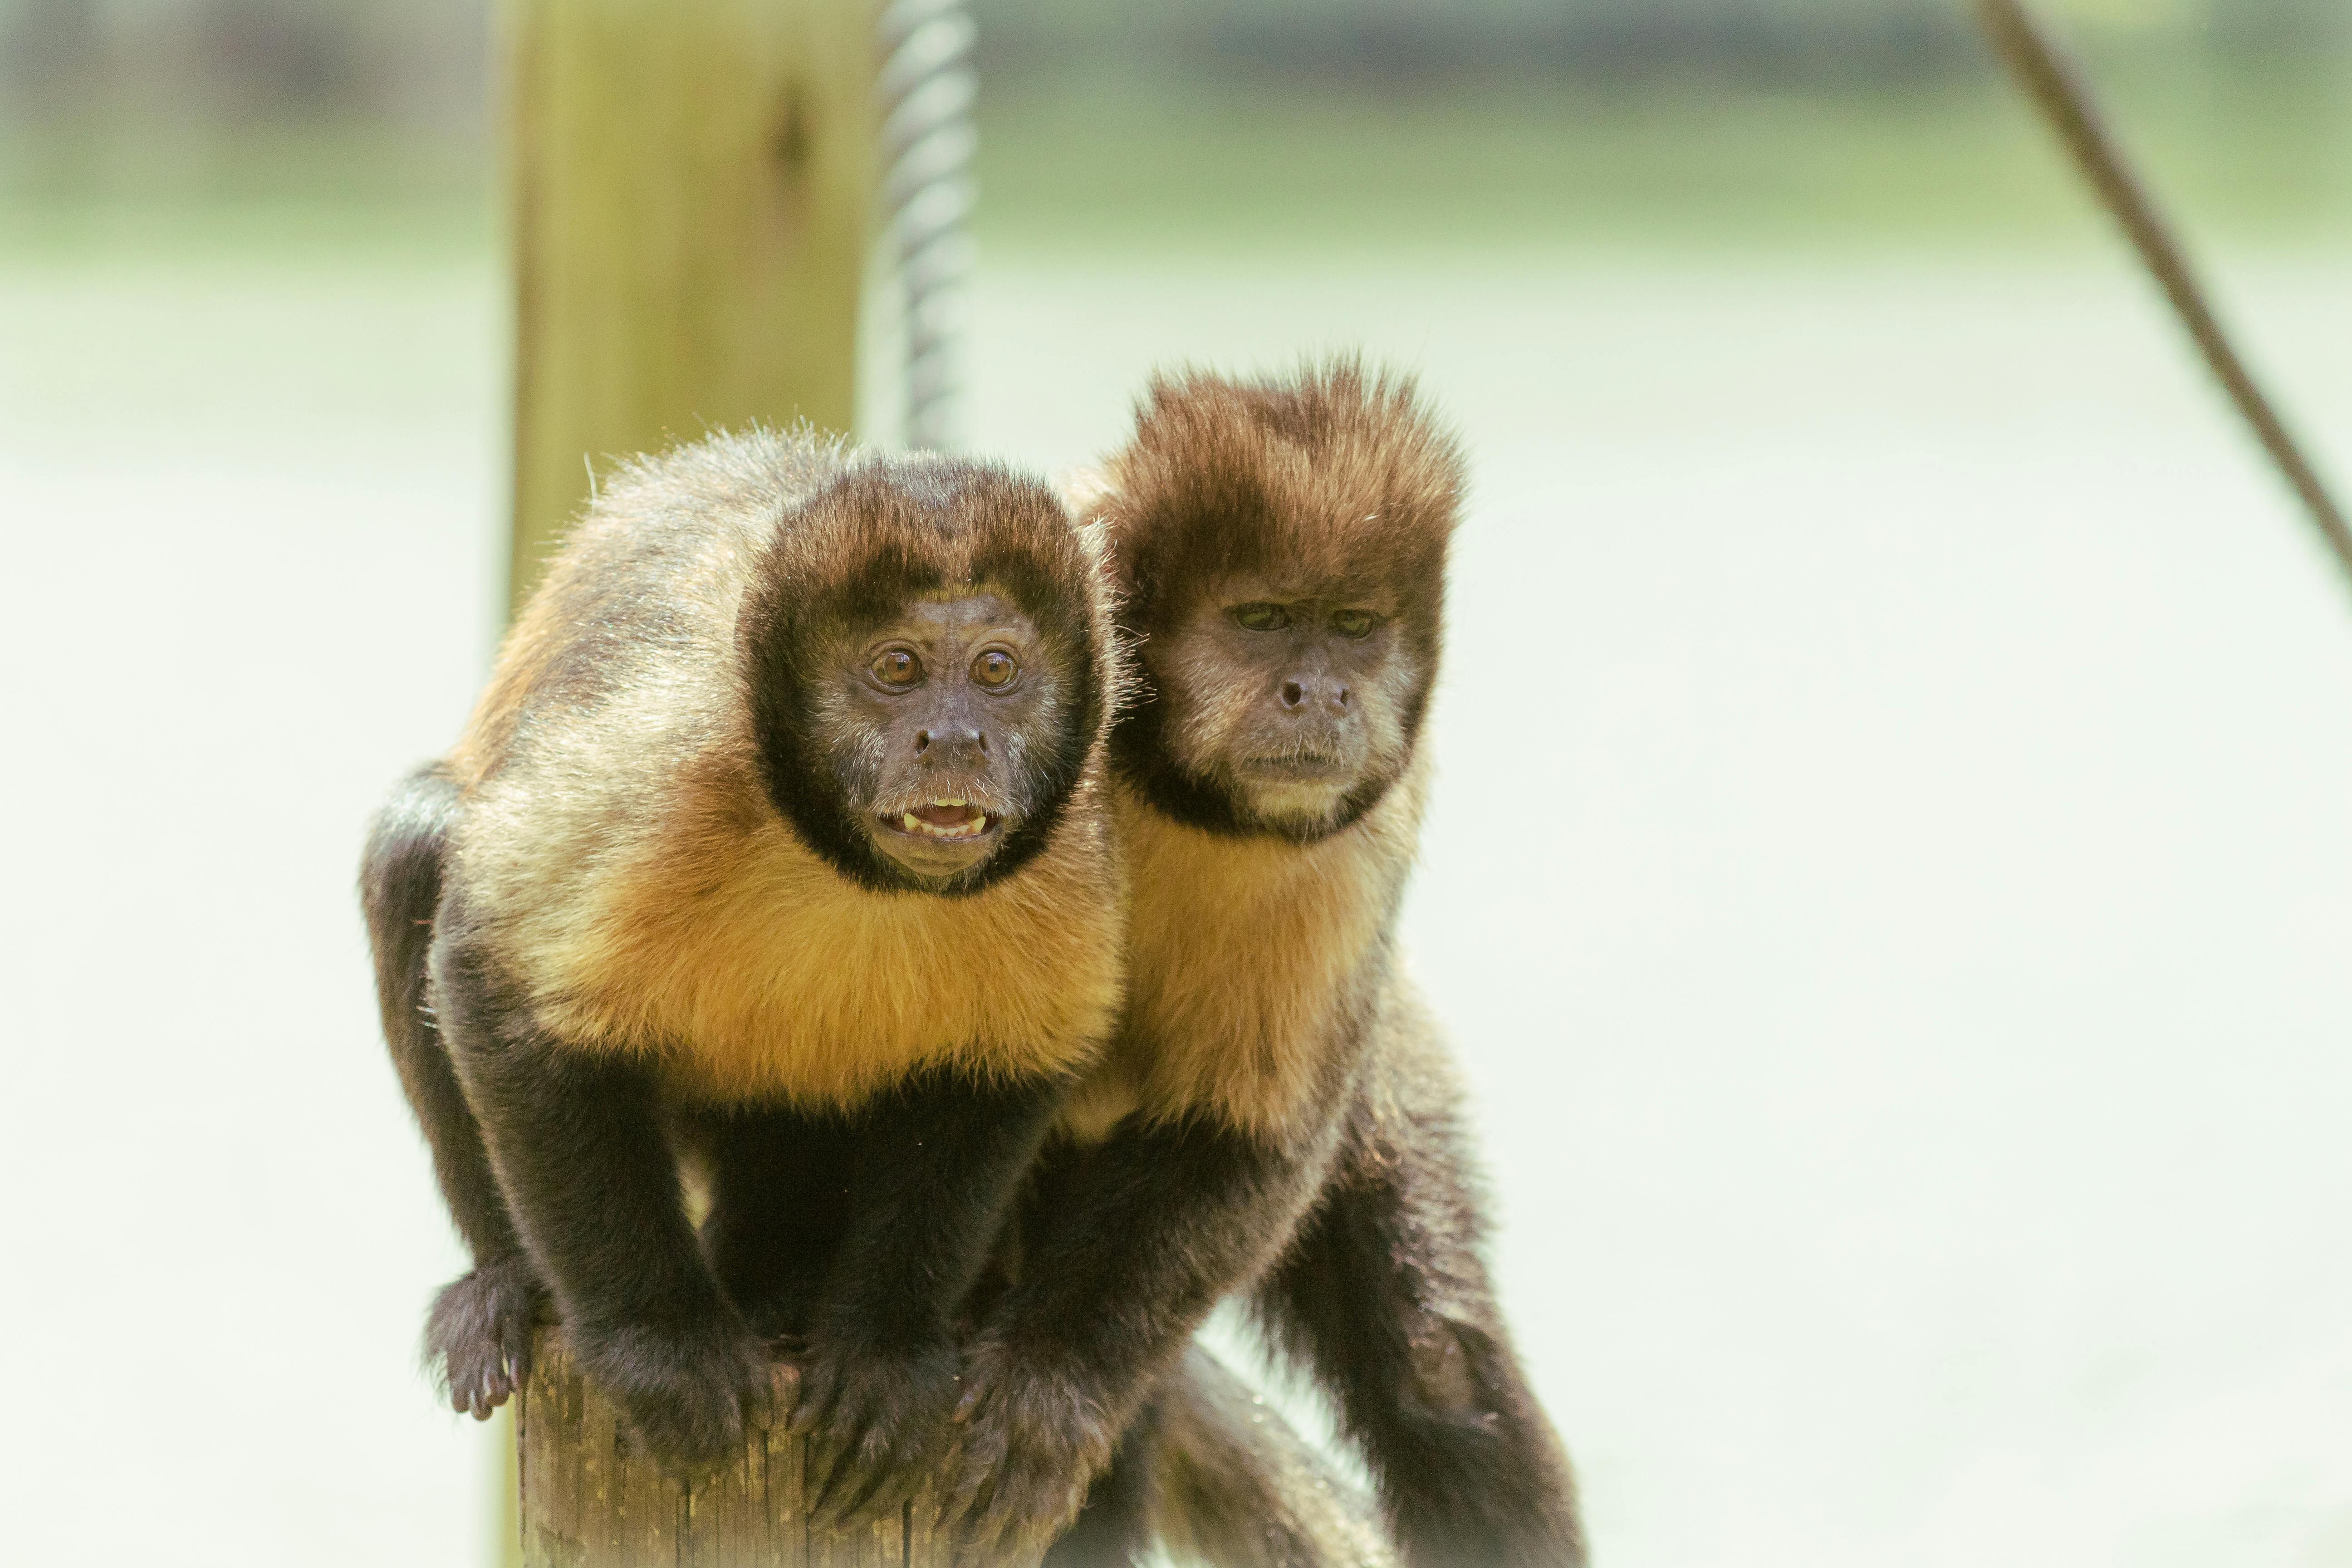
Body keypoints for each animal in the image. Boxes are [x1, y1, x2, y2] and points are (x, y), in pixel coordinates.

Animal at [360, 432, 1129, 1523]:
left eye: (996, 670)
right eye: (897, 669)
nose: (954, 738)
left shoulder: (1067, 836)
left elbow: (1010, 1064)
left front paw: (885, 1351)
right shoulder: (670, 761)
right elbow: (486, 972)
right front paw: (659, 1348)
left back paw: (784, 1294)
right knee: (421, 842)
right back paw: (508, 1284)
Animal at [945, 364, 1590, 1568]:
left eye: (1351, 628)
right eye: (1260, 622)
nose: (1318, 693)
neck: (1165, 776)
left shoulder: (1370, 829)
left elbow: (1252, 1138)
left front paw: (1051, 1380)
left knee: (1436, 1358)